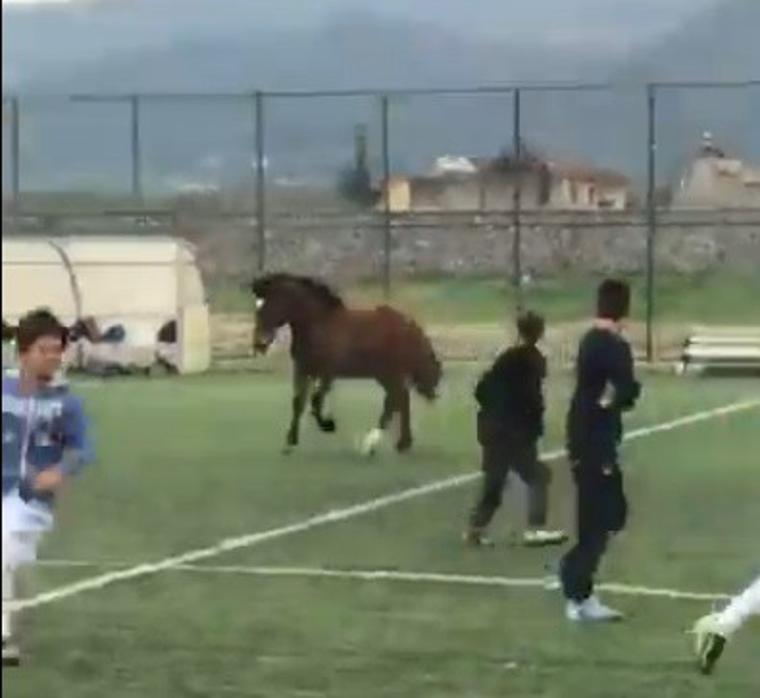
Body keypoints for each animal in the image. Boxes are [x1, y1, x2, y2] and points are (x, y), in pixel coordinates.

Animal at [251, 272, 440, 452]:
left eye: (269, 305)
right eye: (256, 307)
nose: (259, 344)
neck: (318, 325)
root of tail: (411, 325)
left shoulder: (327, 373)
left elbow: (315, 402)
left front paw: (329, 425)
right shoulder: (302, 370)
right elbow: (298, 403)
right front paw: (290, 442)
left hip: (390, 372)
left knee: (395, 401)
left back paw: (370, 445)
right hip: (383, 374)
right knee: (401, 400)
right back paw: (401, 444)